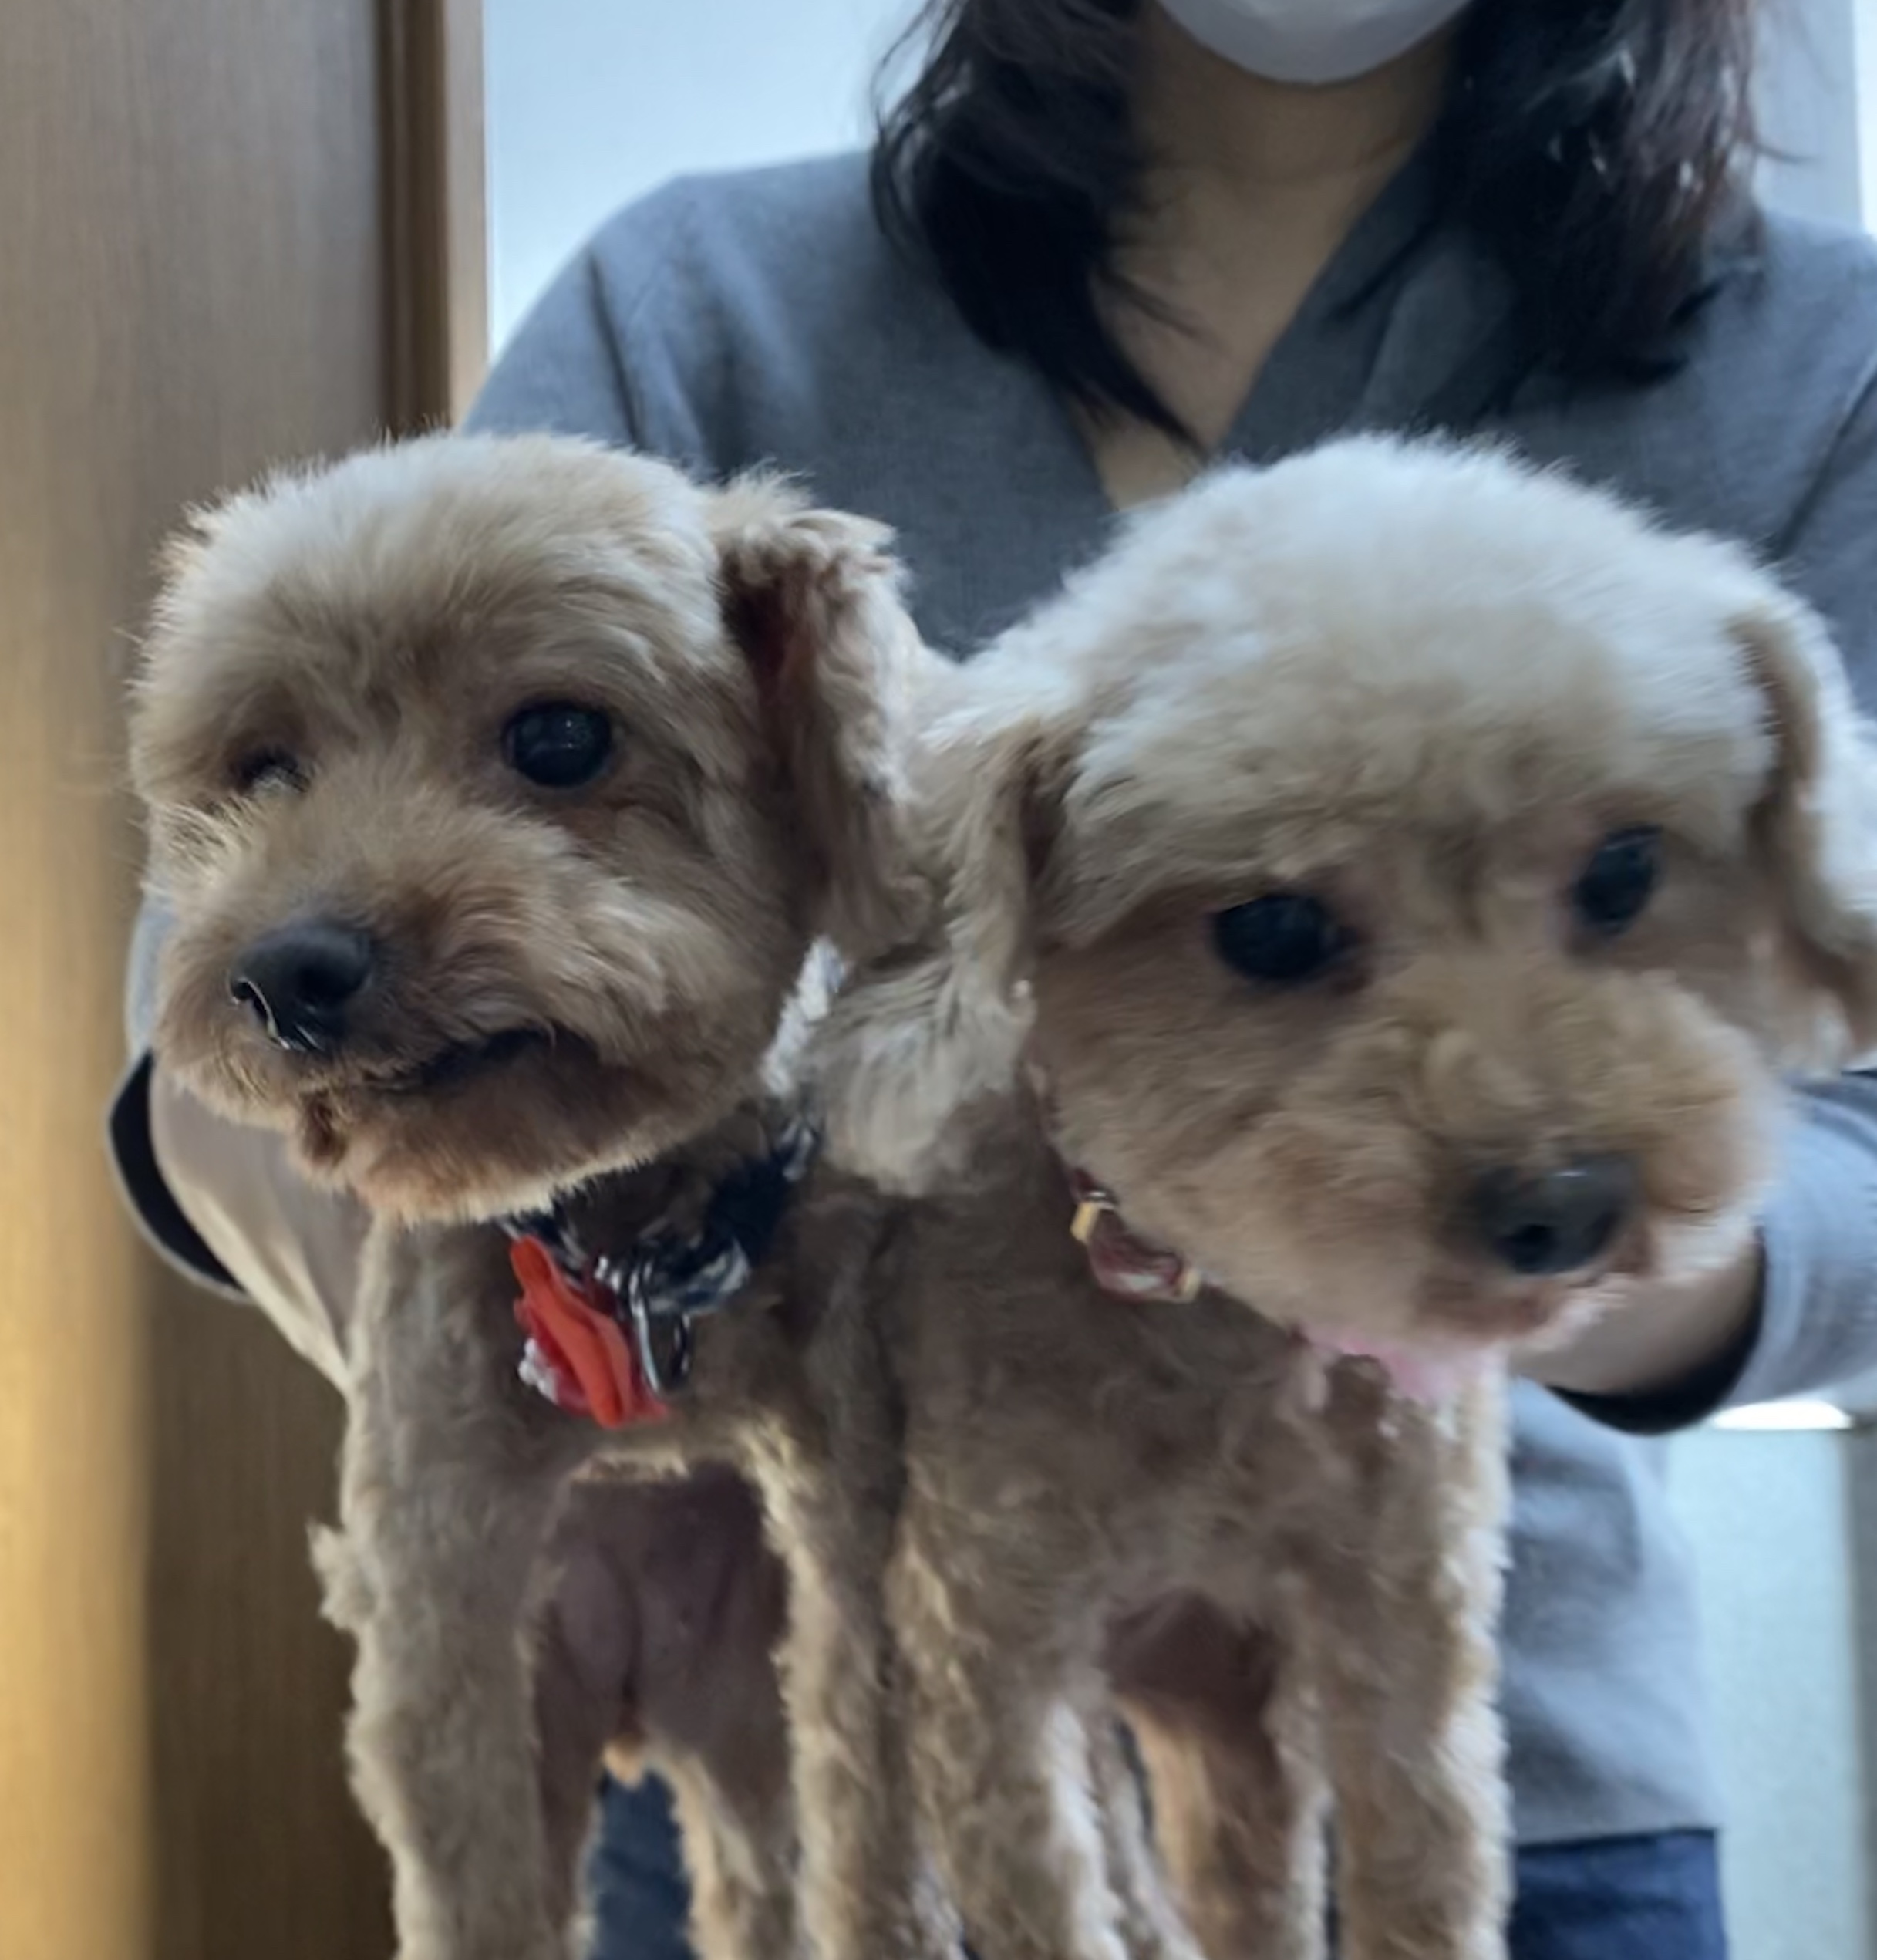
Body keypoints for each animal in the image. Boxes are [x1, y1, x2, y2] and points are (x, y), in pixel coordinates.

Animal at [129, 431, 953, 1960]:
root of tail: (642, 1699)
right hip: (562, 1699)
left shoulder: (846, 1545)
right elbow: (476, 1890)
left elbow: (876, 1854)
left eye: (561, 739)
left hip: (744, 1709)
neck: (630, 1246)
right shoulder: (440, 1593)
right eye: (265, 769)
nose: (283, 973)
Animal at [817, 436, 1877, 1960]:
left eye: (1622, 868)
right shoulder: (987, 1645)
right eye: (1269, 930)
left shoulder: (1405, 1638)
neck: (1203, 1320)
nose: (1561, 1202)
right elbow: (1043, 1896)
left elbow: (1423, 1876)